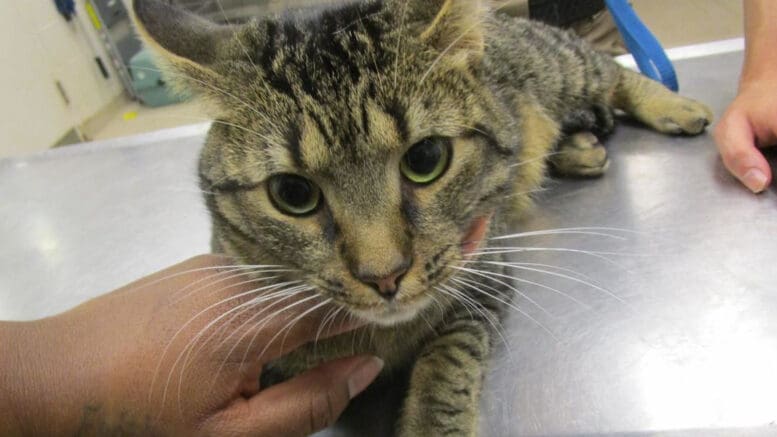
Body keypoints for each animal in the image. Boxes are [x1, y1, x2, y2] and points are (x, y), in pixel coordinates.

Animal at [132, 0, 708, 432]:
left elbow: (446, 366)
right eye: (292, 193)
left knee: (610, 69)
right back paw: (578, 148)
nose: (384, 275)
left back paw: (674, 107)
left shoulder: (485, 273)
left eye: (426, 159)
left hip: (558, 64)